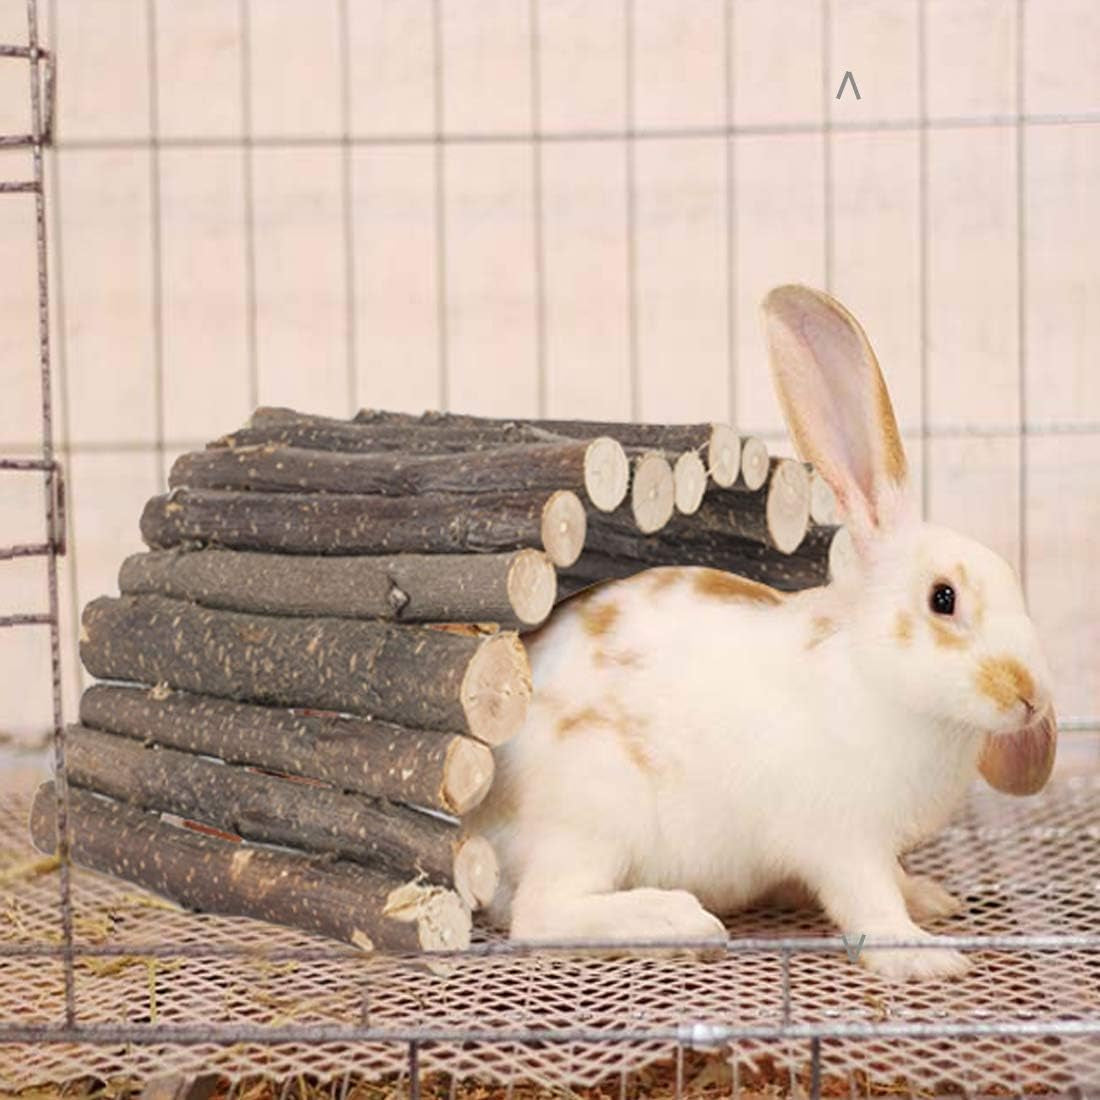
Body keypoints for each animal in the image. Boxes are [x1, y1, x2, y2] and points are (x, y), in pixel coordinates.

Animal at [467, 284, 1058, 981]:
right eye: (944, 599)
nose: (1029, 697)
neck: (876, 676)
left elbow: (892, 880)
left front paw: (930, 899)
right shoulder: (841, 838)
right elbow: (869, 903)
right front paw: (924, 957)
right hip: (594, 814)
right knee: (541, 913)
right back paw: (677, 920)